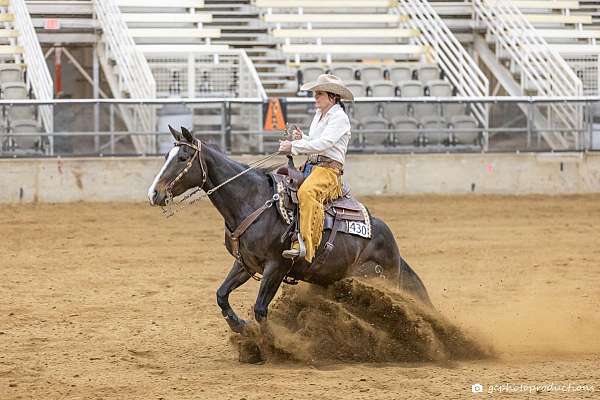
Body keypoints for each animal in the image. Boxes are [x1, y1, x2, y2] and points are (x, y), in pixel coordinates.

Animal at [148, 126, 434, 332]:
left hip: (370, 279)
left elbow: (260, 309)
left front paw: (269, 345)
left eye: (183, 157)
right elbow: (221, 295)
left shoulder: (276, 266)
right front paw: (239, 326)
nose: (154, 194)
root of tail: (393, 247)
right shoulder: (246, 263)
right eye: (165, 157)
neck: (253, 201)